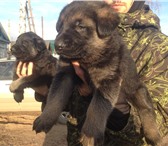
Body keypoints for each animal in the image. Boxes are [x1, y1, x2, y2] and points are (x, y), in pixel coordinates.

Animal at [32, 1, 164, 146]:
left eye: (80, 27)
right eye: (60, 27)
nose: (58, 45)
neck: (87, 58)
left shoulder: (107, 80)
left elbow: (96, 108)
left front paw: (91, 134)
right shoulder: (64, 74)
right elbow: (55, 97)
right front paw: (45, 119)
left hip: (138, 90)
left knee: (147, 110)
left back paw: (155, 136)